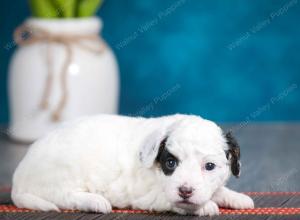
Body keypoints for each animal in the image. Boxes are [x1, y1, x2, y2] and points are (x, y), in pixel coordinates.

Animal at [12, 114, 254, 216]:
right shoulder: (148, 196)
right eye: (170, 163)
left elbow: (217, 189)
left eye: (209, 166)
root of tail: (17, 181)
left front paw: (236, 197)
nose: (185, 191)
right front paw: (205, 207)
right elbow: (171, 200)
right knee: (65, 197)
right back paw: (96, 201)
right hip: (63, 173)